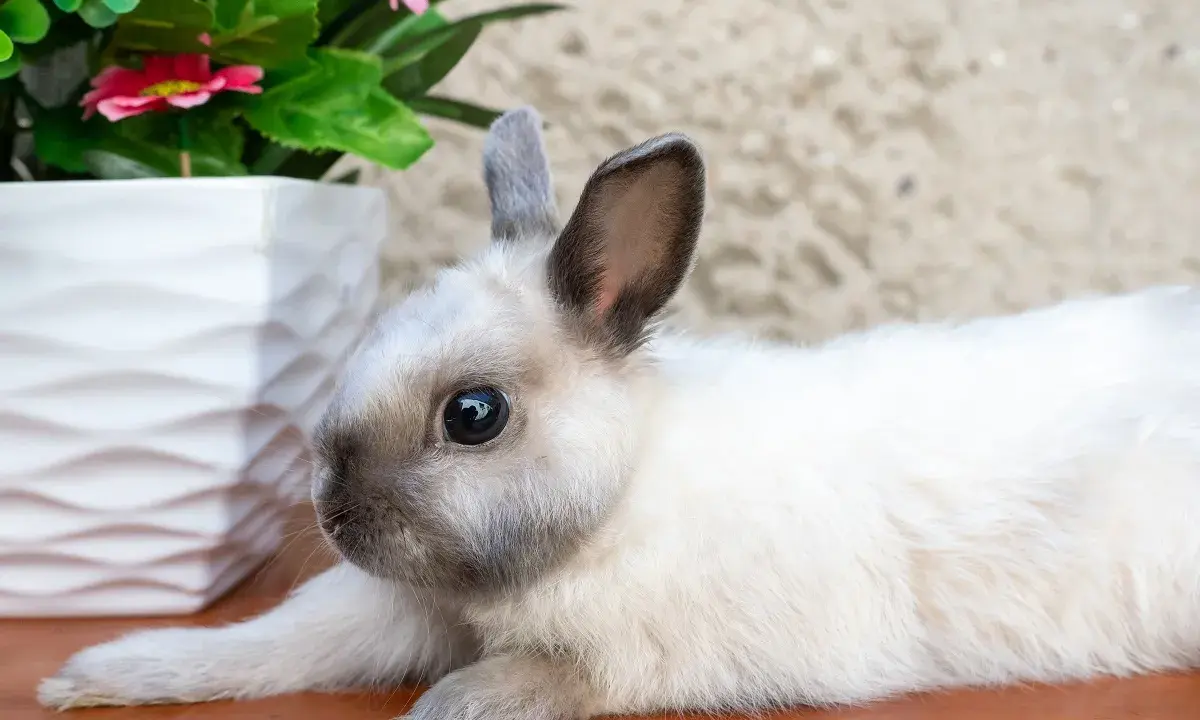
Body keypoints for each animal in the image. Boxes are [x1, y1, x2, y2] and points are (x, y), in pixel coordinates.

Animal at [38, 105, 1200, 720]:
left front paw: (448, 705)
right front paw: (96, 675)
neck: (622, 502)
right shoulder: (391, 610)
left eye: (474, 415)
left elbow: (553, 676)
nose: (332, 517)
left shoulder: (671, 654)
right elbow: (271, 642)